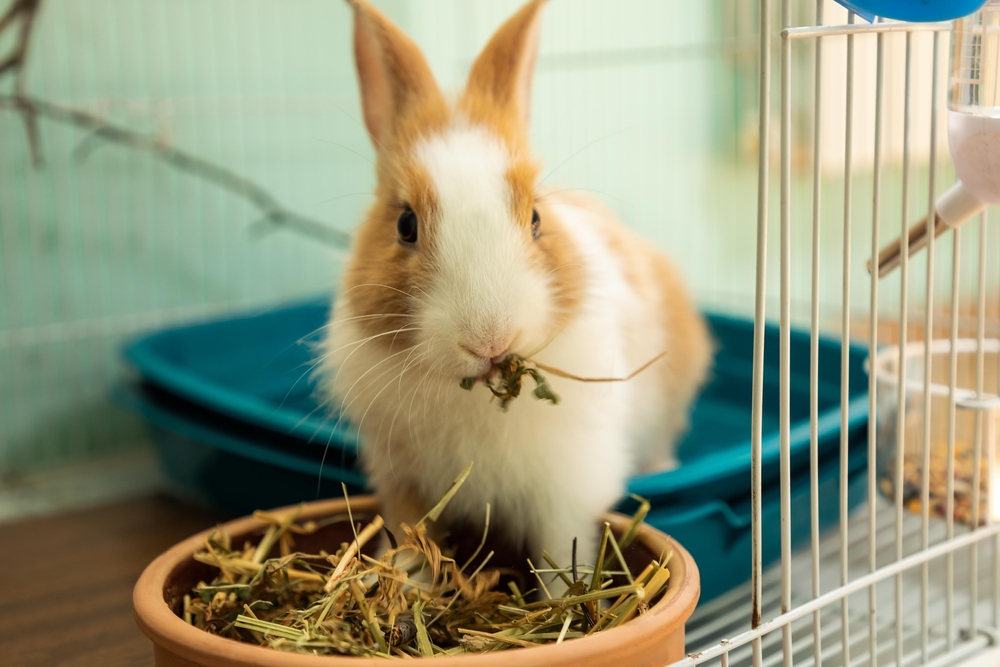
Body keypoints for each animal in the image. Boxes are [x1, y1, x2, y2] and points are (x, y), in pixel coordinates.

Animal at [320, 0, 712, 576]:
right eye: (405, 225)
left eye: (535, 218)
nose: (491, 341)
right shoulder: (405, 485)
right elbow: (413, 548)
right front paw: (409, 586)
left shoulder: (565, 492)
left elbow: (561, 561)